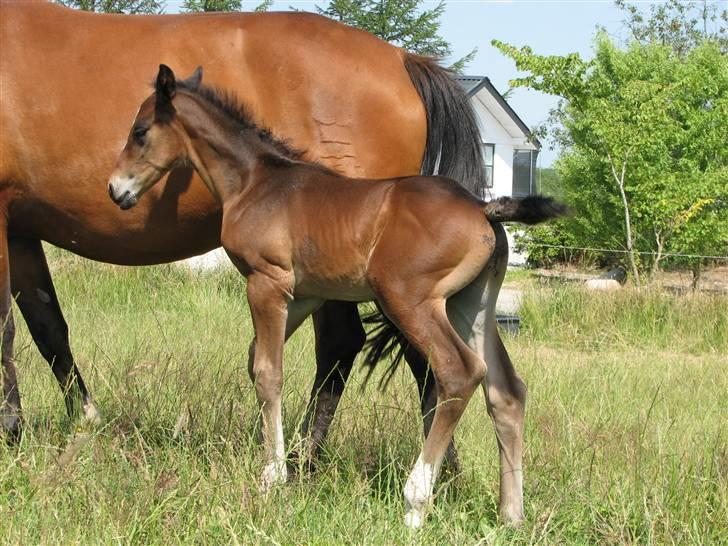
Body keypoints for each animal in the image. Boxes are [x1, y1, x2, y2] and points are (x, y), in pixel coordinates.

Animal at [108, 65, 564, 528]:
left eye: (140, 131)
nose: (115, 189)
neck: (257, 182)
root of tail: (483, 208)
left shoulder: (265, 282)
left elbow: (269, 373)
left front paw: (273, 476)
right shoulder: (303, 294)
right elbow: (256, 360)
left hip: (409, 300)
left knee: (459, 372)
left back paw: (415, 503)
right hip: (471, 305)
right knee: (507, 389)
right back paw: (511, 514)